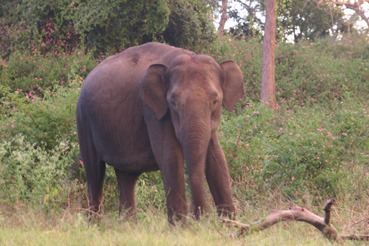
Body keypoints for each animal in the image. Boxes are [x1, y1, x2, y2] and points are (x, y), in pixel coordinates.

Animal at [76, 41, 244, 223]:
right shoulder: (152, 109)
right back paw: (94, 224)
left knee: (126, 176)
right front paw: (181, 226)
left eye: (215, 101)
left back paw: (127, 225)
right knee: (94, 172)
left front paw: (230, 223)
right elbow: (170, 157)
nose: (200, 217)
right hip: (83, 118)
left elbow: (217, 159)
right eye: (173, 102)